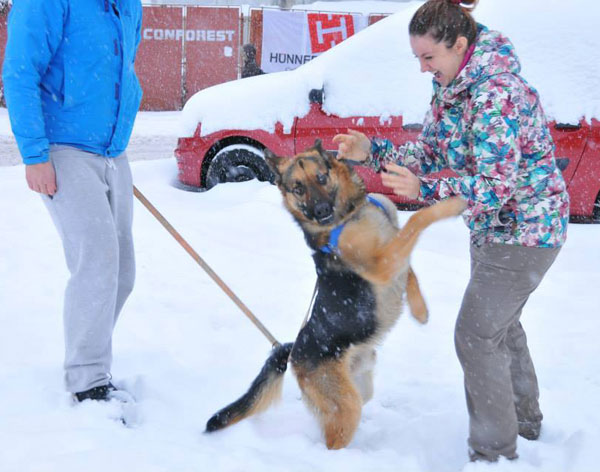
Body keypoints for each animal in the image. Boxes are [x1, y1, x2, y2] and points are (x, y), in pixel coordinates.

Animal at [205, 141, 464, 450]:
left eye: (321, 177)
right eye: (297, 188)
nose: (321, 210)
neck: (350, 213)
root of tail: (294, 351)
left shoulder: (392, 253)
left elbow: (410, 270)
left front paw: (419, 309)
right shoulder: (383, 262)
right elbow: (418, 218)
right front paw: (451, 204)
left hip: (360, 388)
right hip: (348, 406)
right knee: (333, 439)